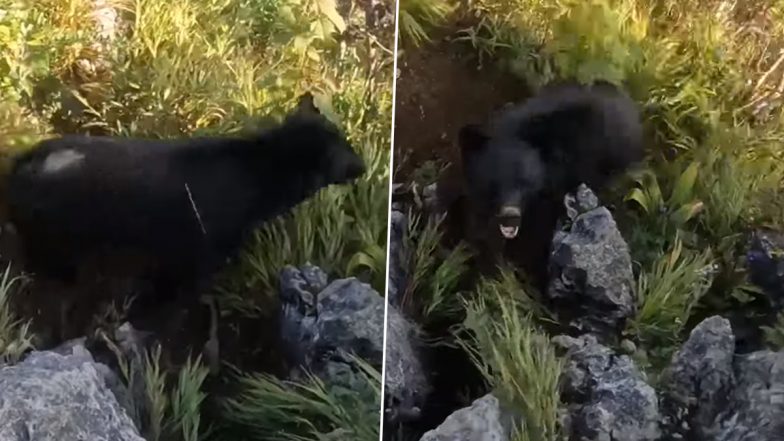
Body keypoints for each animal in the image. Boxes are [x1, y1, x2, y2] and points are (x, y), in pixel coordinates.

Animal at [4, 93, 366, 312]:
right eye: (343, 149)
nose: (363, 166)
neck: (256, 176)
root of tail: (20, 167)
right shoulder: (191, 256)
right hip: (54, 245)